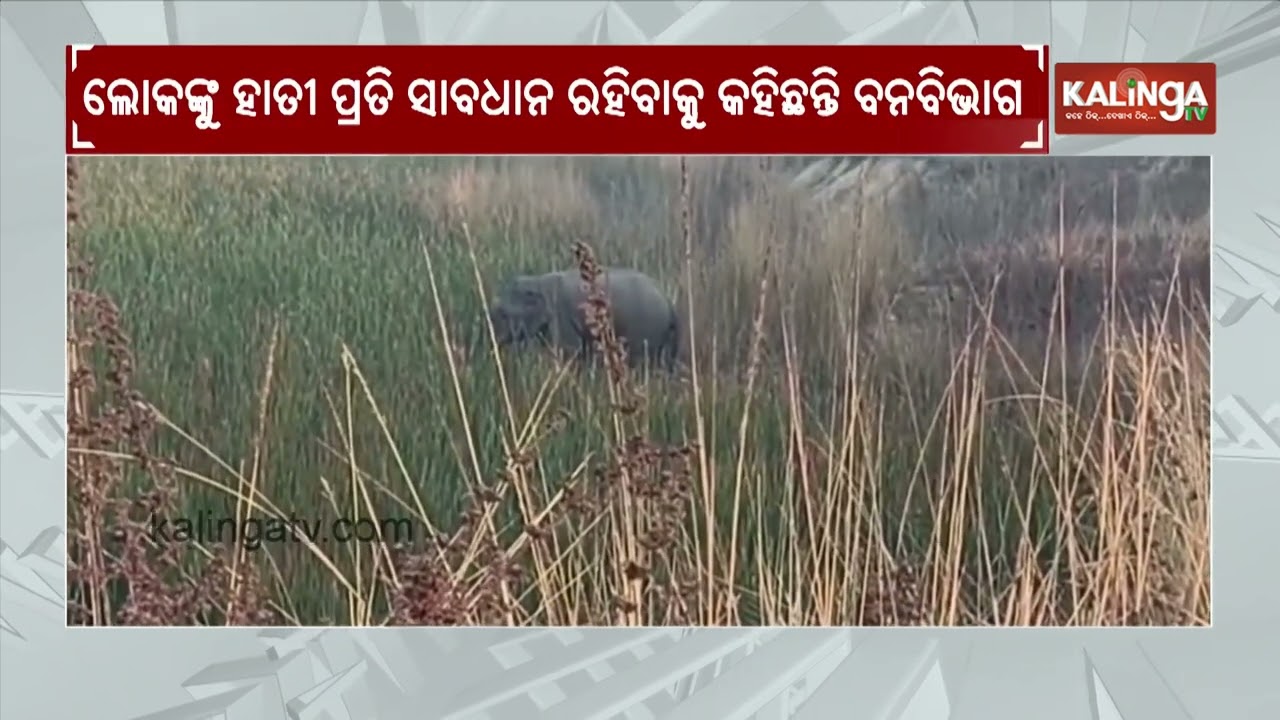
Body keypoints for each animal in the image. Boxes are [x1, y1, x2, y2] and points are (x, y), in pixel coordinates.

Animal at [487, 268, 680, 369]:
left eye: (502, 313)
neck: (538, 281)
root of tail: (668, 301)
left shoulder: (561, 315)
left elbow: (568, 349)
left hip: (647, 326)